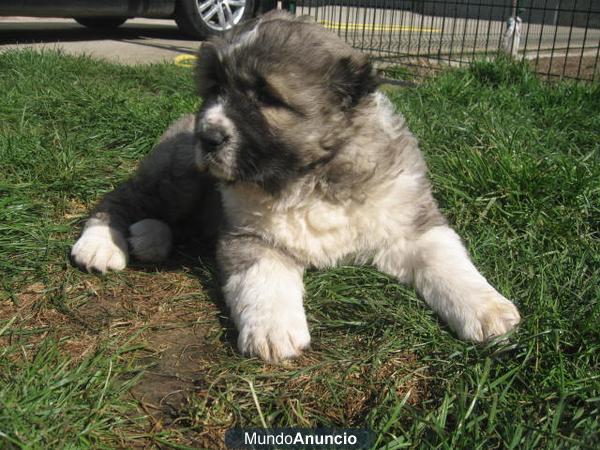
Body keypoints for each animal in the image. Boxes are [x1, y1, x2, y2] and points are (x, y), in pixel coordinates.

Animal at [71, 10, 520, 362]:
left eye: (267, 97)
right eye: (214, 89)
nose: (208, 136)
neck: (314, 175)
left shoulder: (412, 222)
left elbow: (447, 261)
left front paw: (488, 310)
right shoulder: (248, 235)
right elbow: (264, 278)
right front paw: (272, 331)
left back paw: (149, 237)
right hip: (179, 175)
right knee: (124, 197)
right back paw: (101, 245)